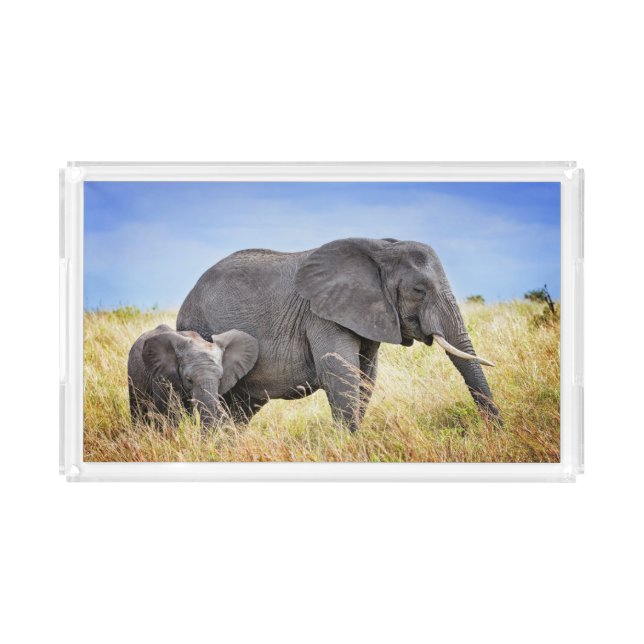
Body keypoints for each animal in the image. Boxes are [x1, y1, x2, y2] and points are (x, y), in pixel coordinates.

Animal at [176, 237, 499, 431]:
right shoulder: (321, 314)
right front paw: (350, 443)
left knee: (240, 409)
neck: (381, 248)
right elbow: (339, 372)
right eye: (419, 290)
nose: (497, 430)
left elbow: (366, 377)